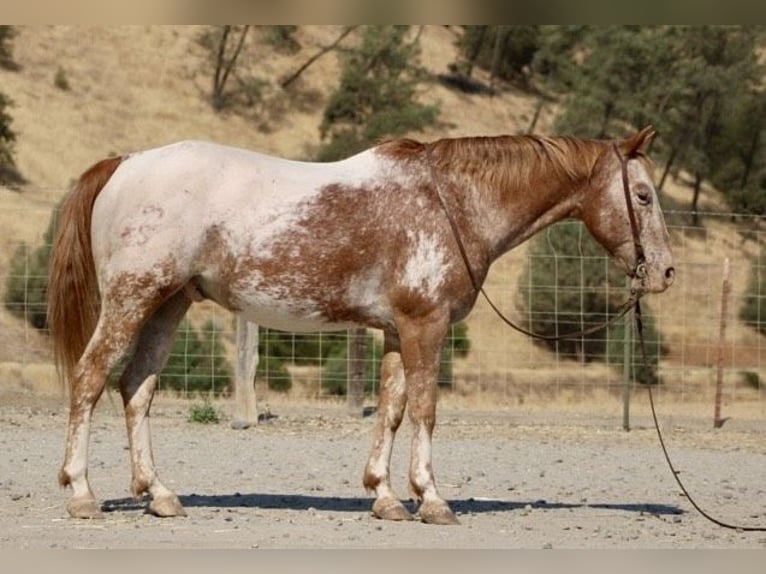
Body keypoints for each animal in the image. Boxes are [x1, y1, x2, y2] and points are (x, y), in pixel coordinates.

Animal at [48, 126, 674, 525]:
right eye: (643, 195)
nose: (666, 271)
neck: (448, 203)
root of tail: (124, 163)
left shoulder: (397, 330)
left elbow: (392, 410)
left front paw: (385, 497)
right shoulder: (425, 325)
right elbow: (425, 409)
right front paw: (432, 500)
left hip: (168, 304)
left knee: (137, 388)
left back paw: (159, 494)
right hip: (132, 299)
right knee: (90, 378)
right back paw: (81, 492)